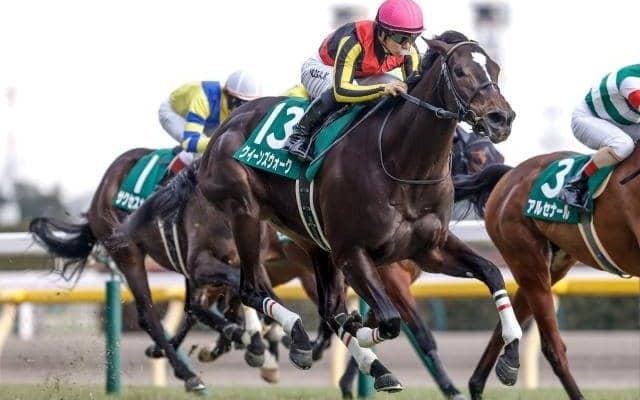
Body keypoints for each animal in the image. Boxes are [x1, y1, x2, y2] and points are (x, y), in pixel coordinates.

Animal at [188, 30, 519, 392]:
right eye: (459, 71)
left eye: (496, 69)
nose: (501, 119)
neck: (402, 164)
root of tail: (228, 124)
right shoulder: (354, 253)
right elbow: (388, 322)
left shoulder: (430, 249)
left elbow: (491, 272)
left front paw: (510, 359)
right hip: (244, 213)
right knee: (250, 290)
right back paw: (292, 338)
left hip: (311, 241)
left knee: (323, 306)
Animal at [466, 147, 640, 400]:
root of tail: (511, 175)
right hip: (528, 261)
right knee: (553, 348)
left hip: (548, 268)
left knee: (504, 326)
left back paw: (482, 382)